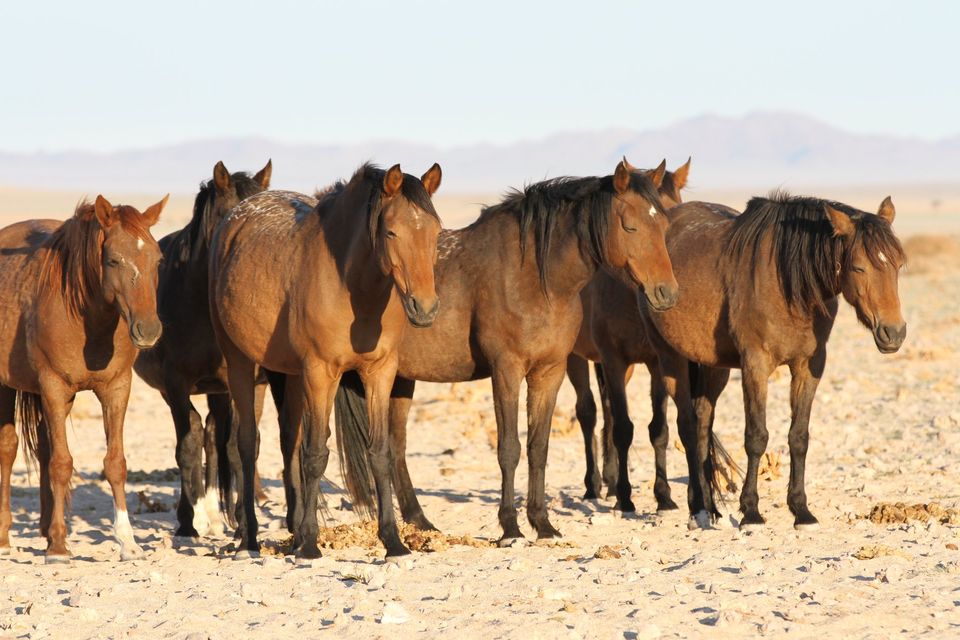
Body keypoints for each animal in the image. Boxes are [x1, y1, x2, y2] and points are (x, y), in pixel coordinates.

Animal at [0, 195, 166, 560]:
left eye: (158, 259)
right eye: (114, 260)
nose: (148, 330)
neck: (86, 317)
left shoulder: (117, 389)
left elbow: (115, 463)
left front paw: (128, 542)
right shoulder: (53, 387)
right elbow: (62, 463)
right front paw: (60, 547)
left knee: (42, 449)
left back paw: (45, 530)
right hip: (6, 387)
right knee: (8, 449)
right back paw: (6, 538)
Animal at [133, 159, 272, 536]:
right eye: (228, 219)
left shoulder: (245, 382)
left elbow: (238, 447)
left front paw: (242, 521)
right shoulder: (176, 383)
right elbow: (187, 444)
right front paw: (186, 522)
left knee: (214, 435)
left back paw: (212, 513)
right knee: (201, 434)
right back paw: (199, 515)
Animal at [210, 164, 442, 560]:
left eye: (436, 231)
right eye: (391, 231)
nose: (424, 308)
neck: (354, 286)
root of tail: (234, 219)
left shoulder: (380, 373)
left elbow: (378, 452)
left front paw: (393, 541)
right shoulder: (320, 372)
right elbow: (316, 453)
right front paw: (309, 546)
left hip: (290, 375)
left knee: (289, 442)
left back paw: (291, 529)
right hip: (240, 361)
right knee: (247, 444)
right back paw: (249, 537)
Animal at [338, 158, 684, 544]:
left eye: (664, 224)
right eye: (630, 225)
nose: (666, 292)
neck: (535, 279)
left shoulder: (550, 372)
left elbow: (538, 447)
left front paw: (542, 523)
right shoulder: (506, 370)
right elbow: (509, 449)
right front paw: (510, 526)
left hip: (400, 380)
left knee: (397, 447)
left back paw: (420, 520)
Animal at [640, 192, 904, 528]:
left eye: (898, 265)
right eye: (858, 268)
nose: (893, 332)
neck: (788, 284)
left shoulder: (809, 366)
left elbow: (799, 437)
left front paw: (801, 509)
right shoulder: (755, 365)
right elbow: (756, 436)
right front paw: (750, 510)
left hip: (713, 367)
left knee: (701, 424)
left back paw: (710, 507)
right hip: (669, 358)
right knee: (686, 427)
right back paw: (697, 507)